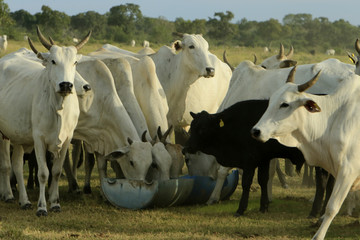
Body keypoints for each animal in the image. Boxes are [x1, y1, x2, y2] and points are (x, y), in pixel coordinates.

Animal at [0, 27, 90, 217]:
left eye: (75, 62)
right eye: (53, 61)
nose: (66, 85)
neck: (58, 107)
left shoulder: (66, 140)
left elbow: (55, 172)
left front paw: (55, 203)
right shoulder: (39, 140)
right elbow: (43, 173)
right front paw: (41, 207)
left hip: (19, 137)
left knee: (17, 165)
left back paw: (24, 201)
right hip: (3, 135)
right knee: (5, 165)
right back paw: (8, 194)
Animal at [252, 65, 360, 240]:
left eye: (285, 104)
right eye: (270, 101)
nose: (256, 131)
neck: (333, 118)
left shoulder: (348, 171)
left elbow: (332, 207)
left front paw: (318, 235)